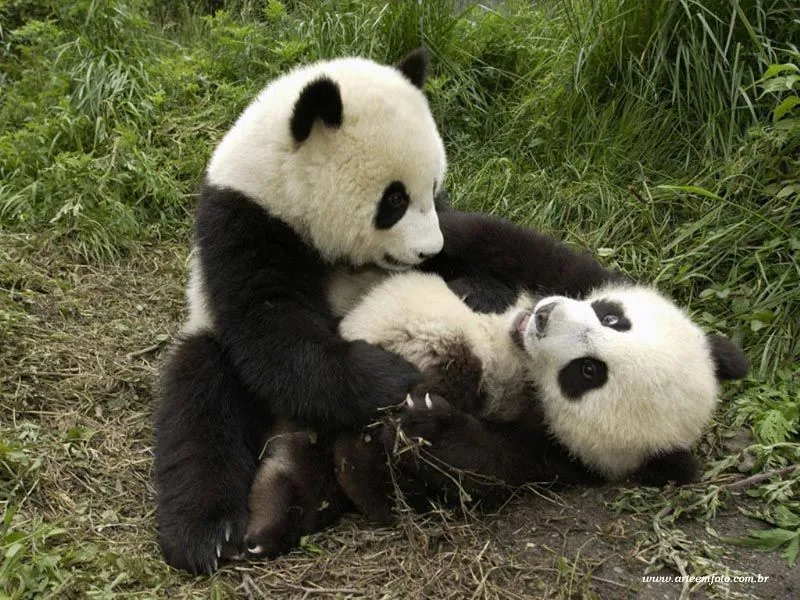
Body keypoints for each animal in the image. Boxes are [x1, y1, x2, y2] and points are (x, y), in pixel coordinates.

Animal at [153, 48, 451, 574]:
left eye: (433, 188)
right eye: (394, 199)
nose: (429, 251)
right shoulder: (244, 224)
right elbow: (272, 332)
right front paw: (392, 376)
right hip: (207, 346)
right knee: (199, 405)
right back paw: (208, 532)